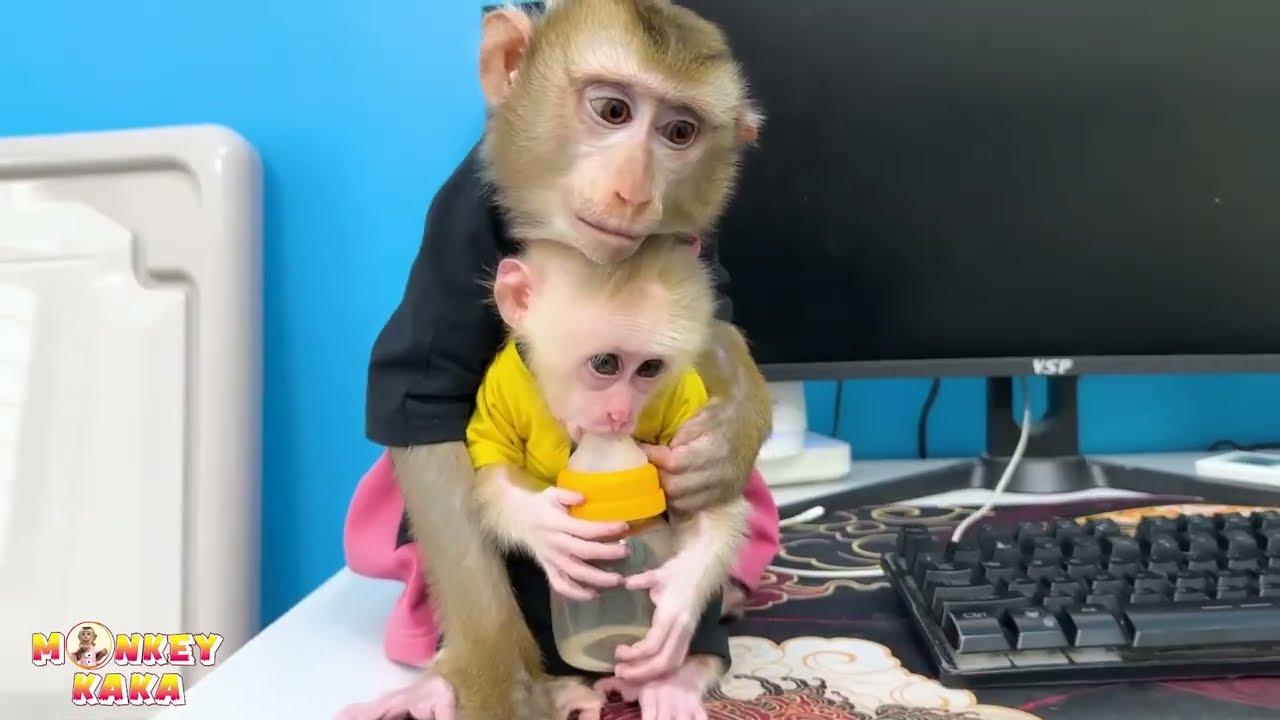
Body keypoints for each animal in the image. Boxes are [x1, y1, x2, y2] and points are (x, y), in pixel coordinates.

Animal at [360, 1, 772, 718]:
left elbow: (712, 320)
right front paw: (499, 679)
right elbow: (424, 404)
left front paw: (724, 446)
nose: (633, 193)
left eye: (679, 131)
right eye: (612, 111)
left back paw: (682, 671)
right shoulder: (456, 228)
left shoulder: (693, 245)